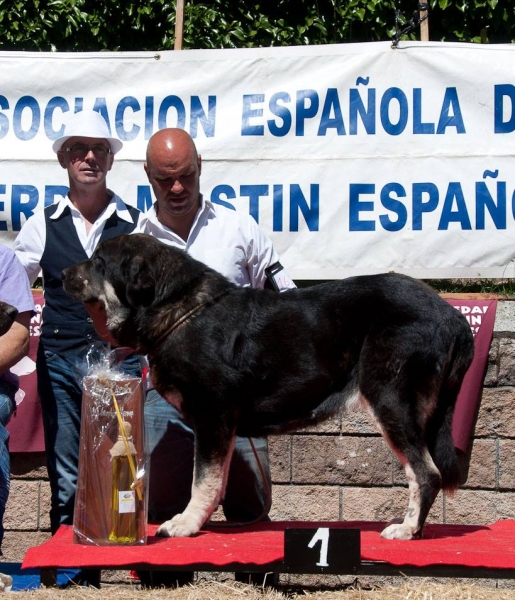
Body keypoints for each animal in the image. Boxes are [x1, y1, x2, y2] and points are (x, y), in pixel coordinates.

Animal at [62, 232, 478, 540]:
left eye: (98, 262)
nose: (62, 273)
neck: (177, 309)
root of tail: (454, 317)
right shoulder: (222, 425)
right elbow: (217, 478)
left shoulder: (212, 414)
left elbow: (203, 479)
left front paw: (185, 523)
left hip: (389, 397)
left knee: (426, 472)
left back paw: (407, 529)